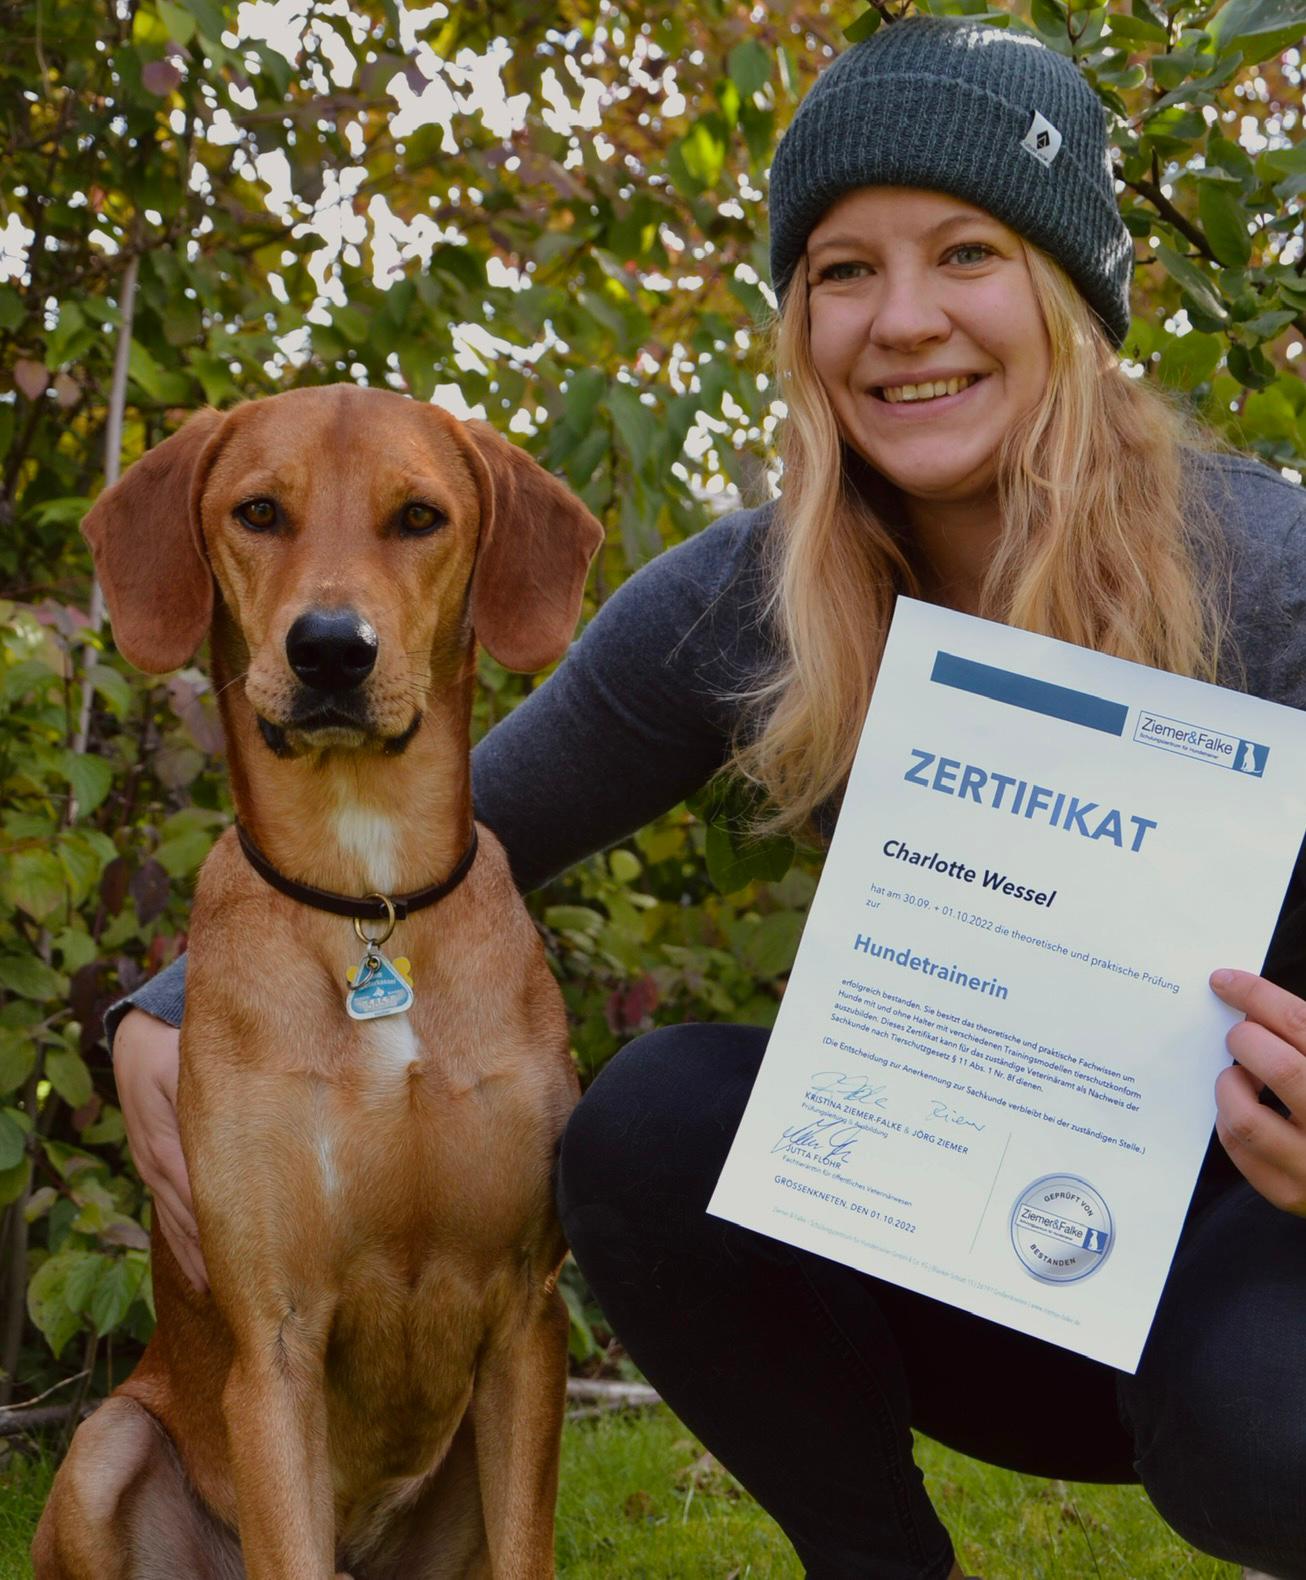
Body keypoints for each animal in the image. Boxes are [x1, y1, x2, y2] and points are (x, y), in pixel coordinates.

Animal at [35, 385, 606, 1580]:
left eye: (419, 516)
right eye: (258, 511)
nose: (331, 651)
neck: (366, 900)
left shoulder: (527, 1327)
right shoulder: (276, 1344)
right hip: (108, 1443)